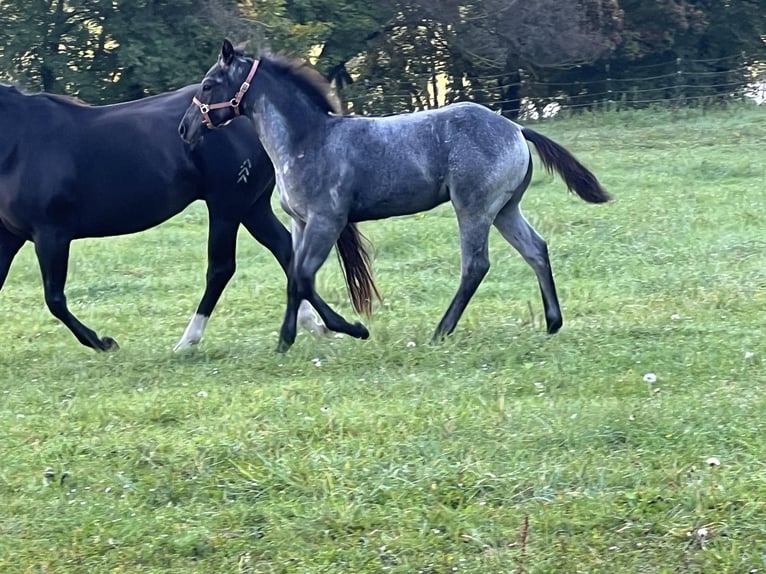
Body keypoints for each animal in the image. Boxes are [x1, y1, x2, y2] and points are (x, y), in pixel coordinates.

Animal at [0, 81, 376, 352]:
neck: (18, 143)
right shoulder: (11, 235)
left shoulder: (51, 235)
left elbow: (54, 299)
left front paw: (103, 343)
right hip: (251, 207)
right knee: (288, 253)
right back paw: (327, 326)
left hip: (227, 206)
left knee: (222, 268)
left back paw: (188, 340)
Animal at [180, 40, 612, 354]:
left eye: (208, 84)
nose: (185, 130)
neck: (308, 140)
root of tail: (516, 128)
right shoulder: (300, 222)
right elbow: (295, 277)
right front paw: (287, 340)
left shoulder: (326, 220)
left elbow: (302, 277)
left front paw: (352, 329)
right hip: (504, 209)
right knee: (536, 249)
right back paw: (553, 322)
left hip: (473, 209)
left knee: (476, 265)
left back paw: (441, 331)